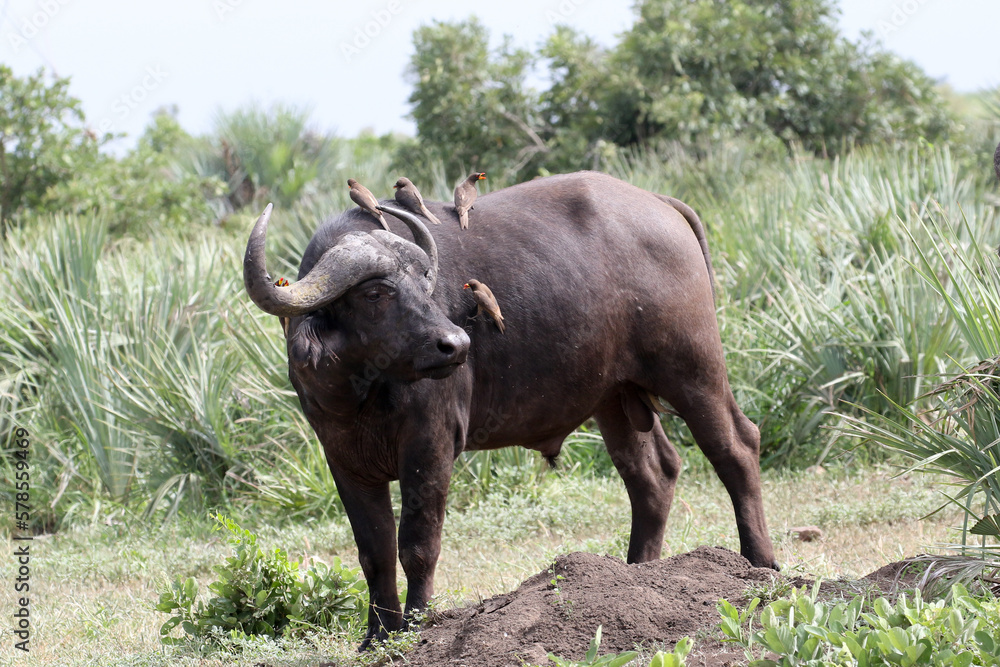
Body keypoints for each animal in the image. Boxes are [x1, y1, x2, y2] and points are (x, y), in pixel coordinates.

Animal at [240, 171, 772, 648]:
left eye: (425, 283)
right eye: (375, 293)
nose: (456, 345)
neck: (364, 390)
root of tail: (661, 203)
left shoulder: (429, 444)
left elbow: (417, 545)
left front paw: (414, 629)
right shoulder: (343, 458)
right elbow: (374, 552)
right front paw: (376, 636)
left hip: (692, 370)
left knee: (736, 447)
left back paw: (761, 565)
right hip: (615, 397)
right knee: (652, 474)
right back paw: (638, 575)